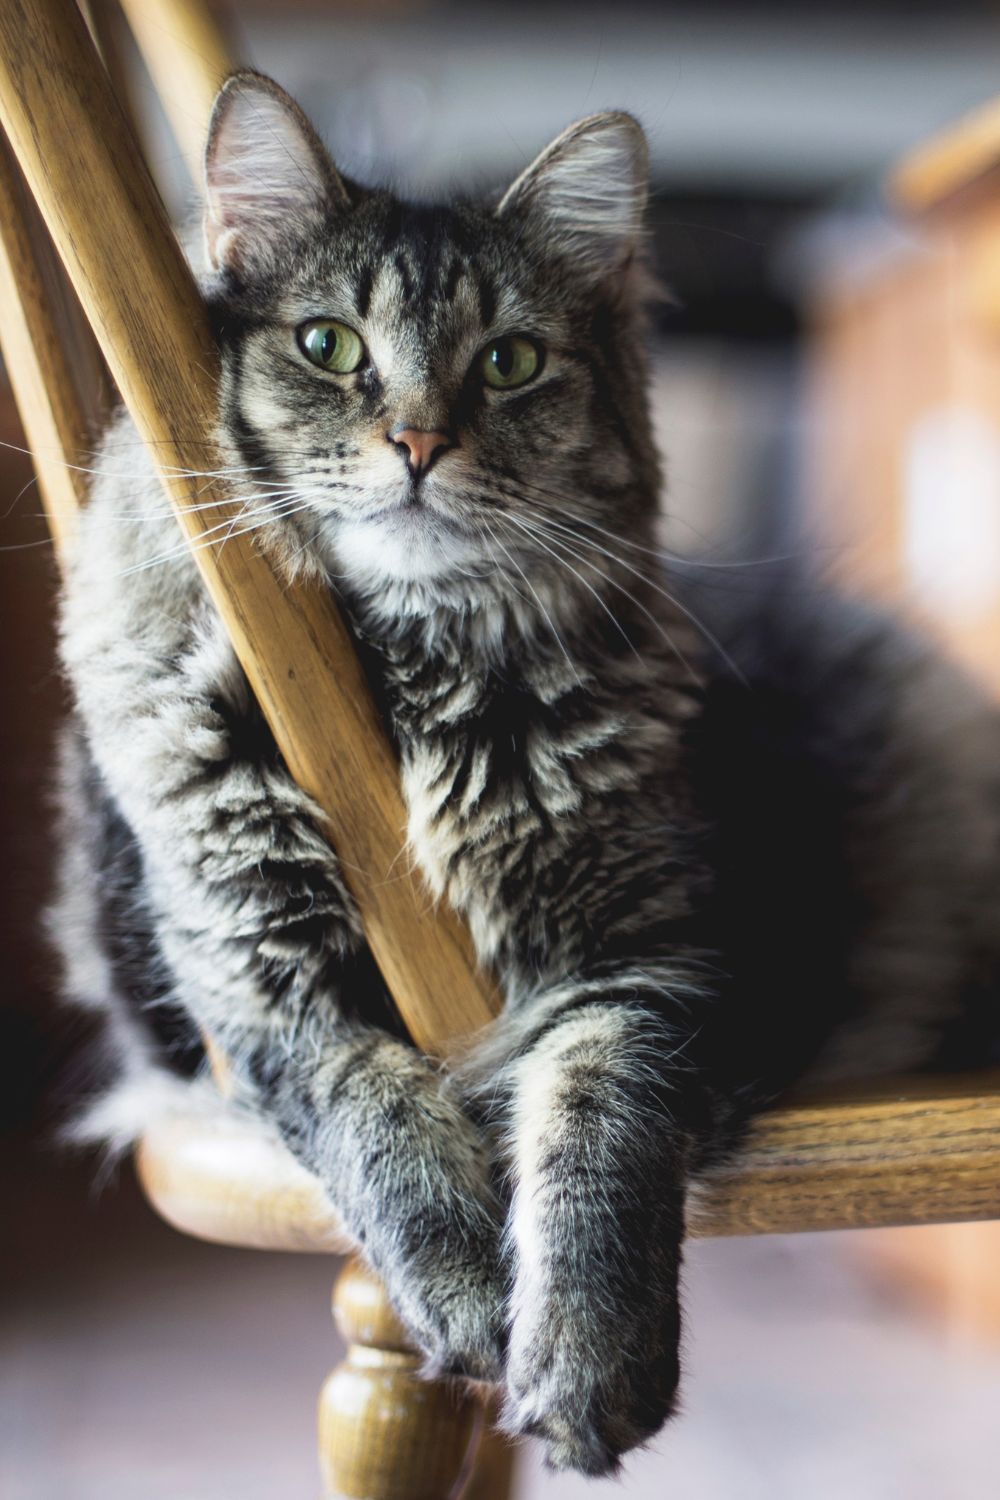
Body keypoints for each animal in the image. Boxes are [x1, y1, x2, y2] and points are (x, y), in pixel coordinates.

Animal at [52, 70, 1000, 1476]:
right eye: (329, 344)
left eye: (508, 361)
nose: (416, 443)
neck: (409, 686)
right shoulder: (258, 986)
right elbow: (375, 1120)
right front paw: (465, 1301)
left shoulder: (659, 964)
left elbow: (597, 1135)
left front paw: (588, 1358)